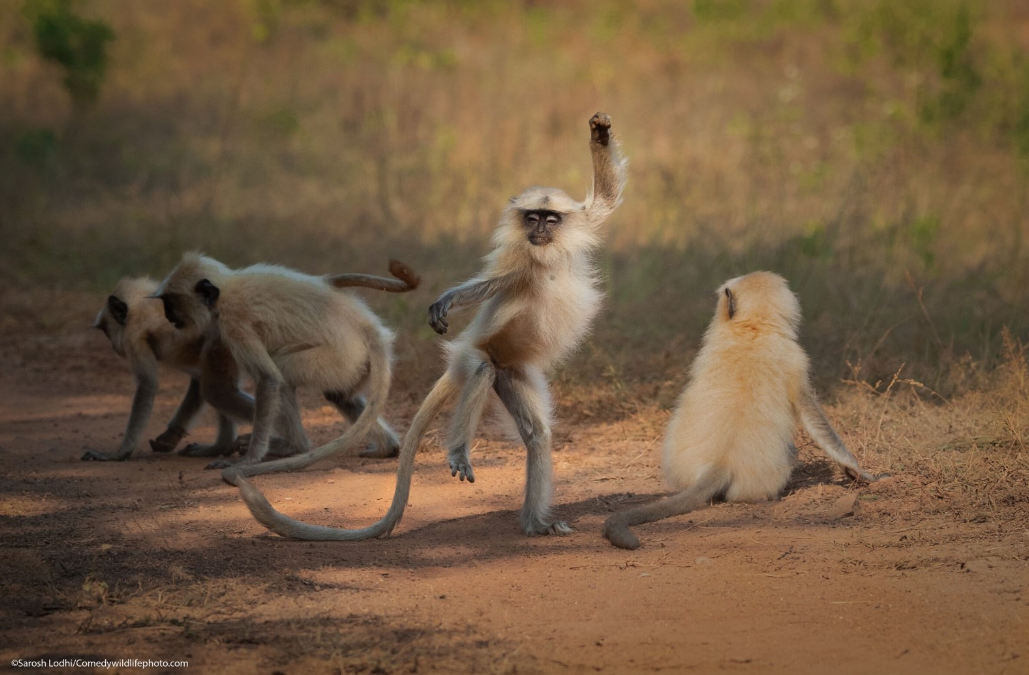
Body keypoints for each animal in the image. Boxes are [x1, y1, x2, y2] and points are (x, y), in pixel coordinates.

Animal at [155, 256, 413, 471]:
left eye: (171, 304)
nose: (168, 317)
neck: (227, 287)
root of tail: (365, 326)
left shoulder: (233, 320)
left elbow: (268, 378)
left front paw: (248, 460)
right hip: (356, 363)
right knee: (338, 395)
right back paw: (387, 447)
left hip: (337, 357)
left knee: (284, 377)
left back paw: (294, 447)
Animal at [235, 112, 625, 543]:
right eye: (532, 218)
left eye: (550, 219)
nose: (538, 229)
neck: (546, 253)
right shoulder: (517, 260)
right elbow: (487, 285)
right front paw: (448, 300)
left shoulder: (572, 227)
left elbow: (605, 201)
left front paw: (600, 133)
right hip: (478, 354)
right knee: (481, 370)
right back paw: (460, 453)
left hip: (513, 372)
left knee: (537, 435)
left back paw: (535, 524)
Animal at [600, 269, 876, 547]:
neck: (753, 328)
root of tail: (720, 463)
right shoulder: (796, 359)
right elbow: (815, 418)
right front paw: (860, 471)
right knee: (790, 453)